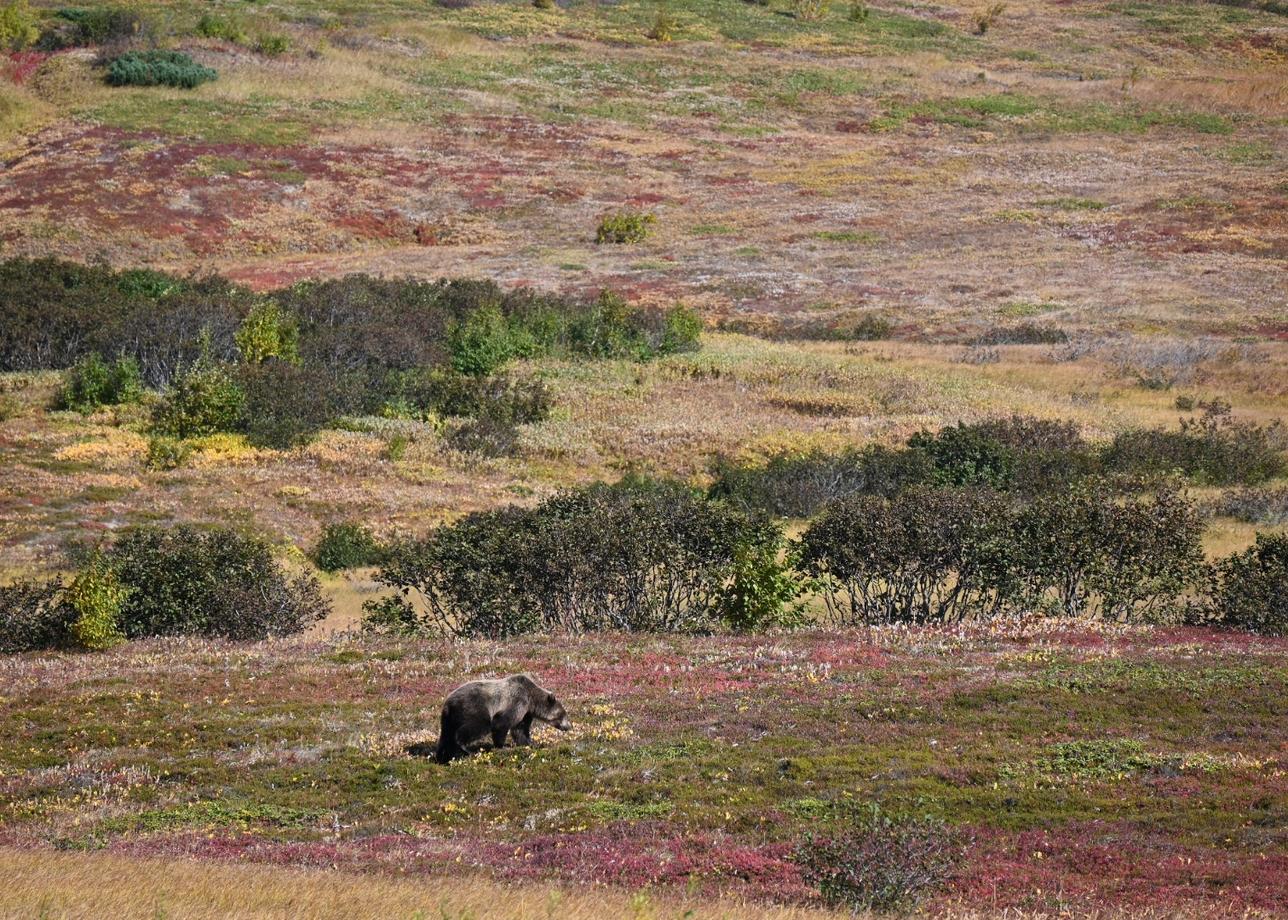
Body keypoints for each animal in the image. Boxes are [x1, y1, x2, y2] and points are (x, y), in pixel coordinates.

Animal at [427, 670, 569, 762]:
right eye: (562, 714)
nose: (569, 727)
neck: (531, 700)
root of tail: (448, 703)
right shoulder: (516, 700)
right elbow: (501, 722)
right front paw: (502, 746)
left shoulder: (525, 712)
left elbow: (520, 729)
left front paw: (531, 743)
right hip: (473, 707)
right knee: (477, 726)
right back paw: (465, 748)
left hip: (449, 718)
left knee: (446, 735)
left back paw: (442, 756)